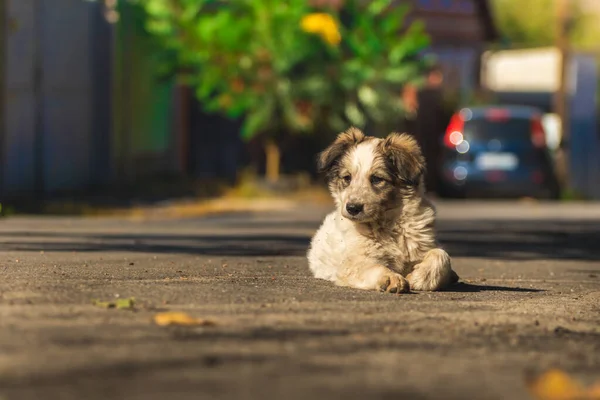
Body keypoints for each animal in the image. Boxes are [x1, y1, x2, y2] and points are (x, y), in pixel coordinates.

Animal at [310, 128, 460, 294]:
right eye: (347, 178)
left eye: (376, 179)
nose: (352, 208)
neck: (387, 226)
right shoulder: (351, 263)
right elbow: (373, 266)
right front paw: (390, 278)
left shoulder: (424, 246)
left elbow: (441, 255)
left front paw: (419, 277)